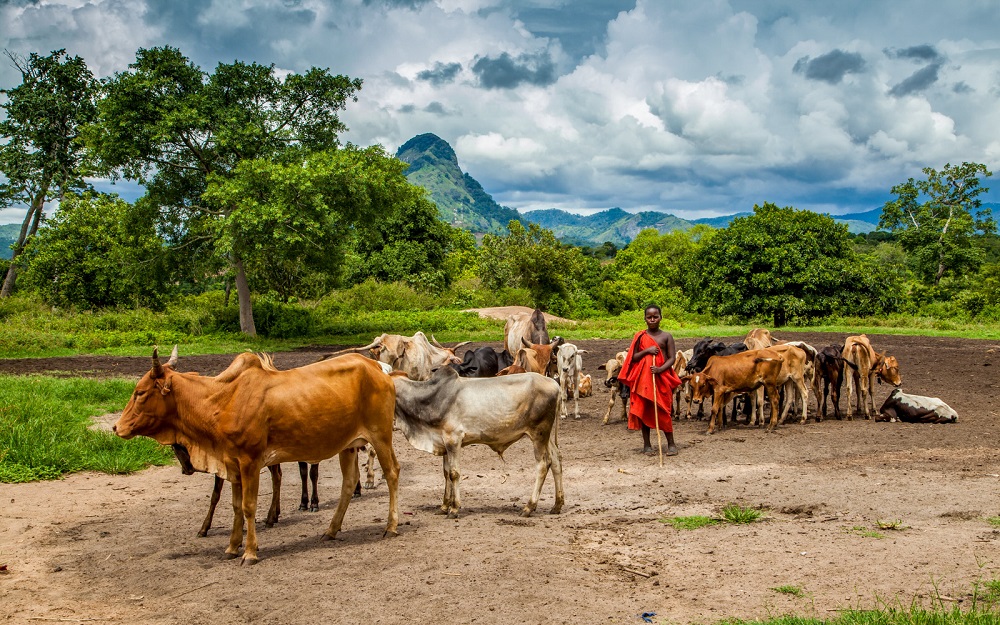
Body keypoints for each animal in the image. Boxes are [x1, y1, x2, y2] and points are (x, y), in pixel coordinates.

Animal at [112, 348, 398, 564]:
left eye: (140, 392)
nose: (116, 427)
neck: (222, 400)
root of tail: (376, 367)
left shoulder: (249, 461)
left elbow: (249, 506)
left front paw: (249, 552)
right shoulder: (232, 464)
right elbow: (236, 506)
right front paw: (231, 547)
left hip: (380, 436)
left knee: (392, 473)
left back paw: (391, 526)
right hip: (347, 445)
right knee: (348, 484)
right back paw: (331, 530)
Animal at [390, 368, 564, 520]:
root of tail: (554, 384)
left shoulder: (453, 439)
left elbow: (454, 473)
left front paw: (454, 509)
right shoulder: (444, 442)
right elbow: (446, 473)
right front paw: (444, 506)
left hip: (538, 434)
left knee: (543, 465)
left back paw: (529, 507)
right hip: (546, 436)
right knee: (556, 460)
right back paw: (557, 505)